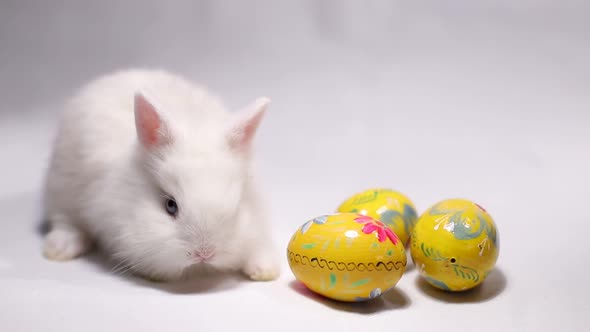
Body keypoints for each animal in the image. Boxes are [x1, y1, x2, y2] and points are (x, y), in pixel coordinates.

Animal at [42, 68, 282, 282]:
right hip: (61, 186)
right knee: (64, 219)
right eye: (170, 205)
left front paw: (264, 270)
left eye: (237, 206)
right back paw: (59, 249)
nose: (204, 253)